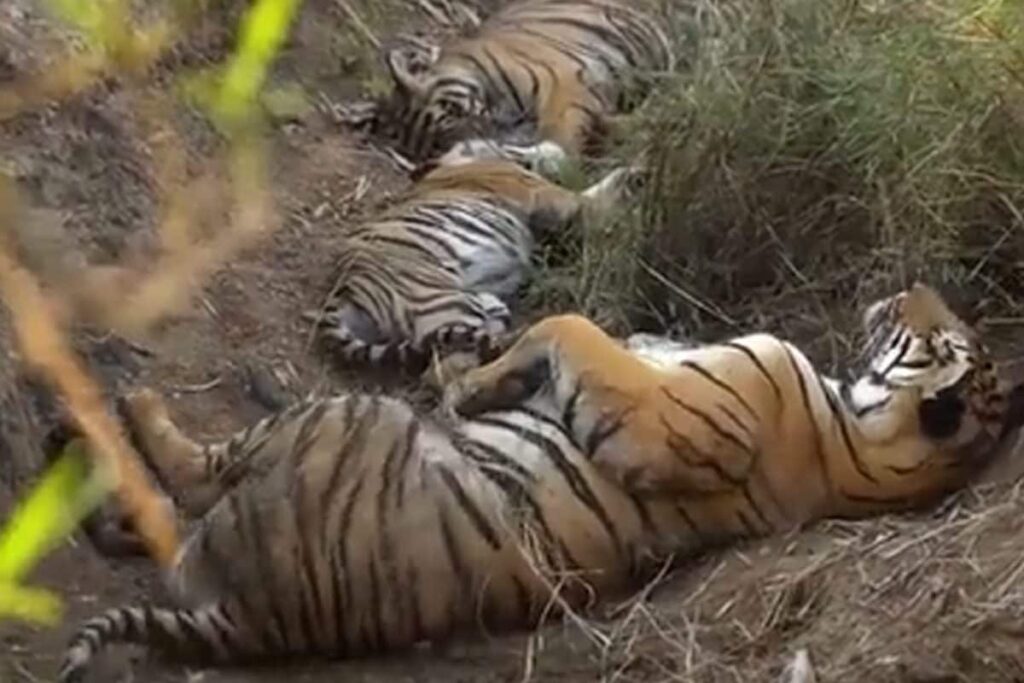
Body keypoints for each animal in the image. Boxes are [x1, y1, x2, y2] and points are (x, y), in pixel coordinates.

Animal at [52, 283, 1024, 682]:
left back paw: (114, 411)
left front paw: (470, 380)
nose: (912, 285)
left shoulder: (663, 412)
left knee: (186, 476)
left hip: (338, 422)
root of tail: (251, 618)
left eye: (936, 330)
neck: (859, 436)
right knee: (157, 520)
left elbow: (570, 324)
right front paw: (469, 370)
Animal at [312, 150, 637, 374]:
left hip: (484, 304)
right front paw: (631, 176)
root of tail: (343, 290)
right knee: (463, 359)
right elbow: (588, 197)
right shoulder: (544, 192)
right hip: (448, 301)